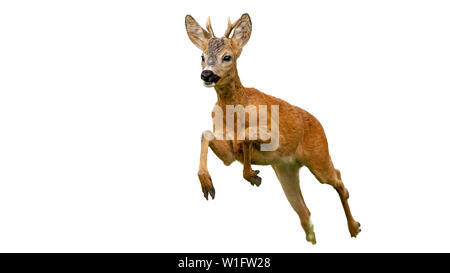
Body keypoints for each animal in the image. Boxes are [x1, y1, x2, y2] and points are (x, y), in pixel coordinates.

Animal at [185, 12, 360, 243]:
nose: (206, 75)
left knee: (339, 180)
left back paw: (354, 228)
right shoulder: (228, 155)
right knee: (305, 212)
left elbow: (246, 136)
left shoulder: (274, 135)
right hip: (286, 169)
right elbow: (206, 134)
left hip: (319, 157)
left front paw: (251, 173)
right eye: (202, 56)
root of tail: (320, 125)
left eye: (227, 57)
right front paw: (208, 184)